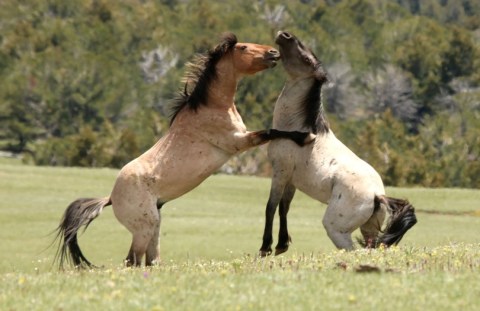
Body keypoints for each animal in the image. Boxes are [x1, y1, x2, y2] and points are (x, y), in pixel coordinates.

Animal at [54, 33, 316, 268]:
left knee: (149, 260)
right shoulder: (238, 143)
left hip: (154, 225)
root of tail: (110, 198)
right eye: (242, 47)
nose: (273, 53)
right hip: (144, 228)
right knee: (133, 261)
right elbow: (271, 131)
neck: (212, 107)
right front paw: (306, 136)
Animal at [258, 30, 416, 258]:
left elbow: (271, 206)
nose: (284, 35)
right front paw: (281, 245)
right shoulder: (291, 180)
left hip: (336, 229)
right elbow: (284, 207)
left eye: (307, 59)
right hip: (368, 229)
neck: (299, 130)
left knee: (352, 250)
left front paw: (266, 247)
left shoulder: (280, 172)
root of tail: (377, 196)